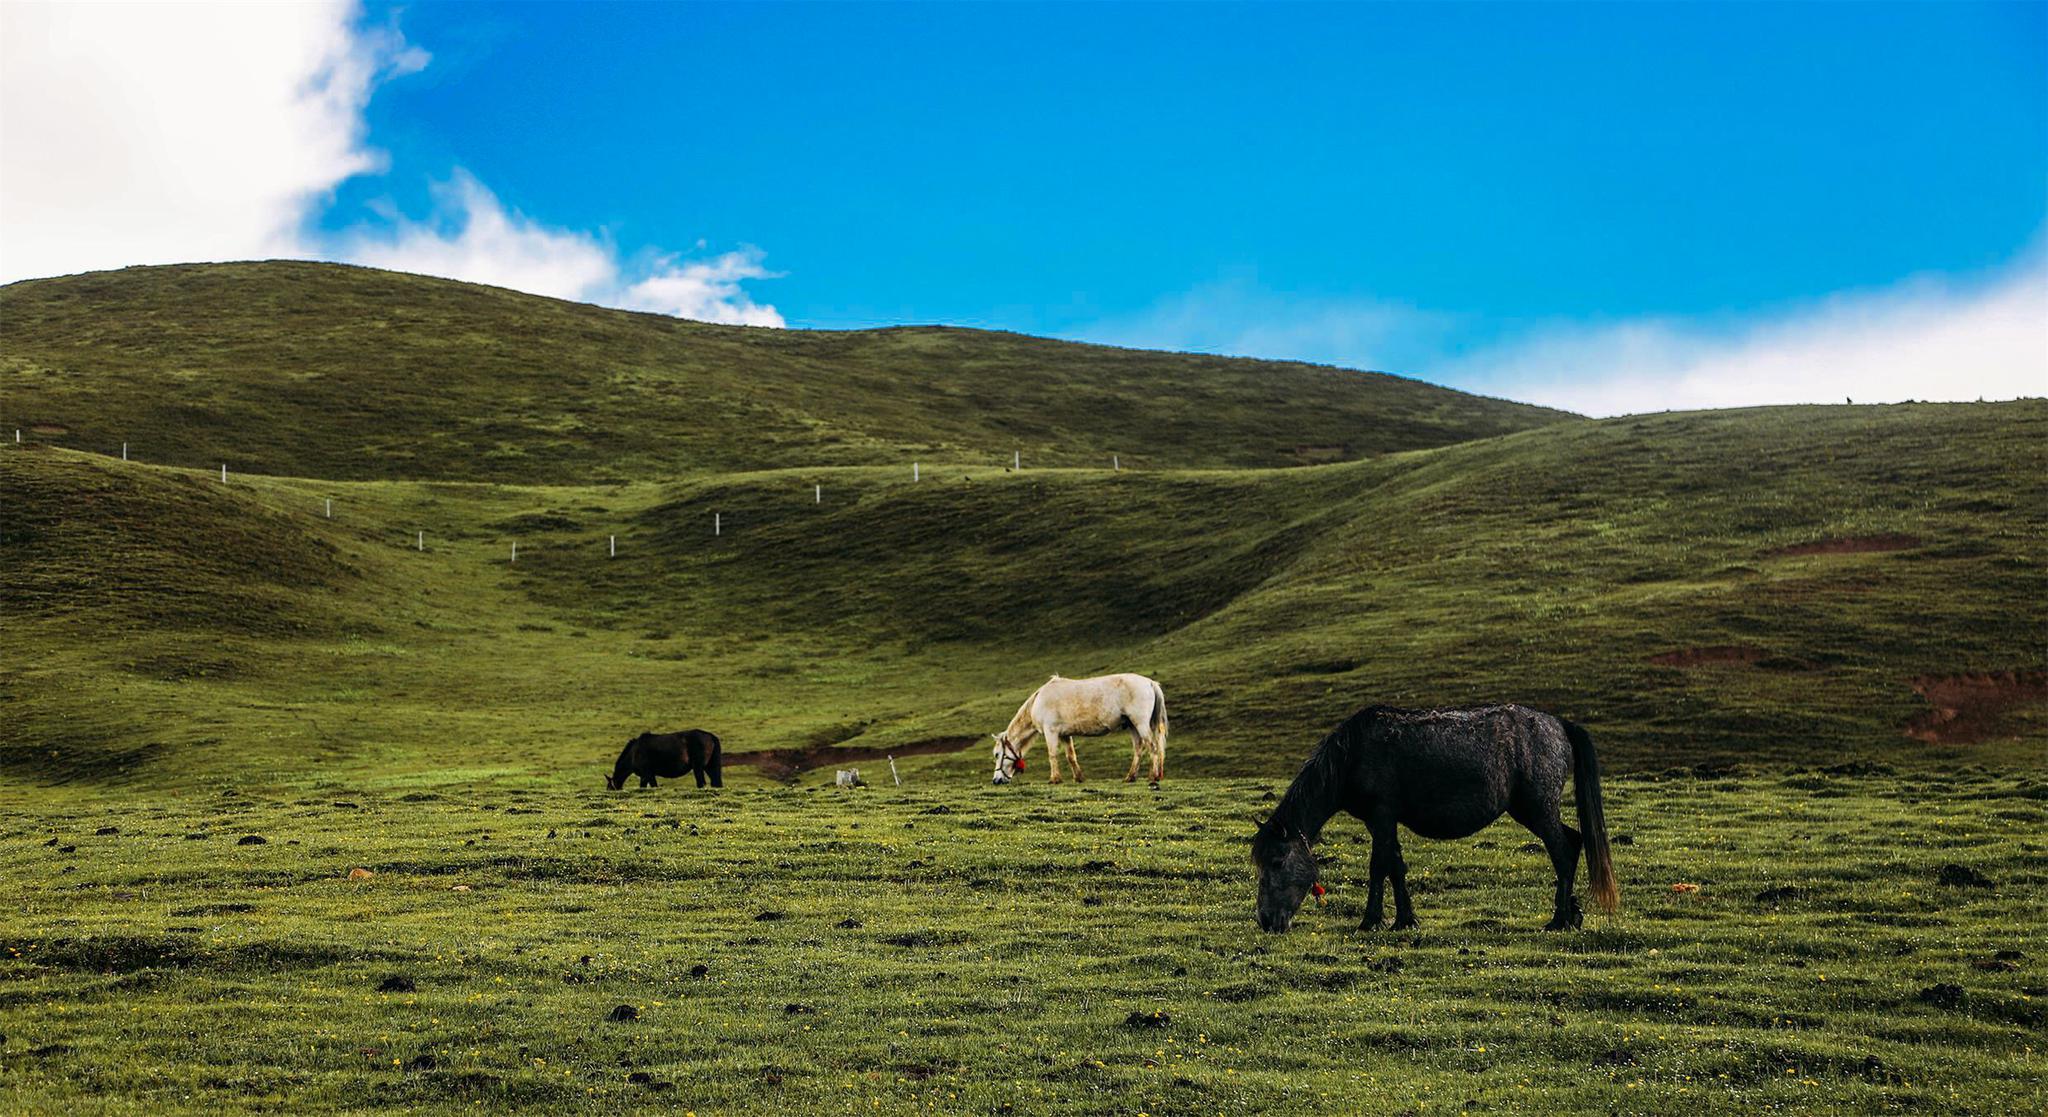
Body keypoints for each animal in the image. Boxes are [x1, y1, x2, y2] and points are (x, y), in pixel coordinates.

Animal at [991, 672, 1171, 782]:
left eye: (997, 754)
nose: (996, 780)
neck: (1039, 701)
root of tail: (1150, 683)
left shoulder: (1051, 732)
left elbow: (1052, 754)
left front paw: (1054, 779)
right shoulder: (1064, 734)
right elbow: (1071, 756)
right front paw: (1078, 777)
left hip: (1140, 723)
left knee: (1153, 747)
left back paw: (1153, 777)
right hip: (1132, 725)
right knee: (1139, 748)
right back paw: (1131, 777)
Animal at [1245, 705, 1613, 930]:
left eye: (1277, 862)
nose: (1266, 921)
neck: (1353, 755)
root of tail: (1559, 724)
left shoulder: (1382, 815)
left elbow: (1379, 865)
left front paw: (1370, 921)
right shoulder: (1380, 821)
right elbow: (1395, 865)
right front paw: (1405, 920)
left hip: (1537, 808)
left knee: (1562, 852)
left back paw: (1559, 919)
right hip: (1531, 810)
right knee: (1573, 842)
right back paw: (1573, 914)